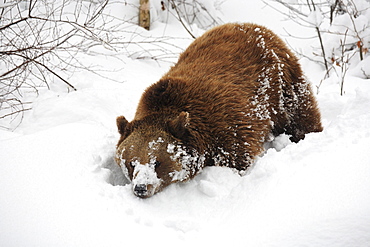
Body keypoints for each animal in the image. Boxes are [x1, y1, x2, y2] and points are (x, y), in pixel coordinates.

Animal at [114, 22, 322, 198]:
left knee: (300, 114)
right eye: (131, 162)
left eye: (157, 162)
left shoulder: (229, 127)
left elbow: (237, 158)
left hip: (281, 84)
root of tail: (255, 26)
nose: (141, 187)